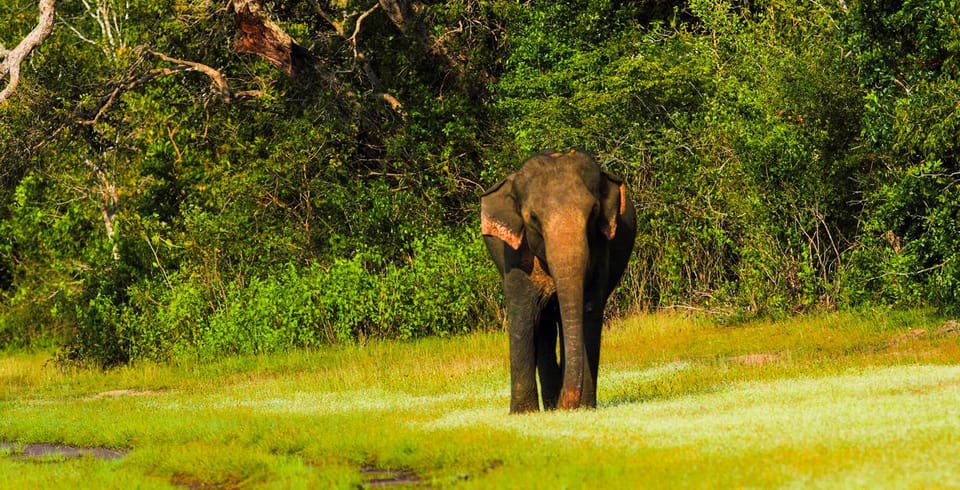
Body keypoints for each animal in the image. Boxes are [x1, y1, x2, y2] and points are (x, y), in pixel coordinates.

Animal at [484, 150, 632, 414]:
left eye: (594, 211)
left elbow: (589, 310)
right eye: (533, 218)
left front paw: (583, 408)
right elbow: (522, 311)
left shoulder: (601, 248)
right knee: (543, 323)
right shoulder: (514, 255)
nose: (566, 404)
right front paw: (522, 413)